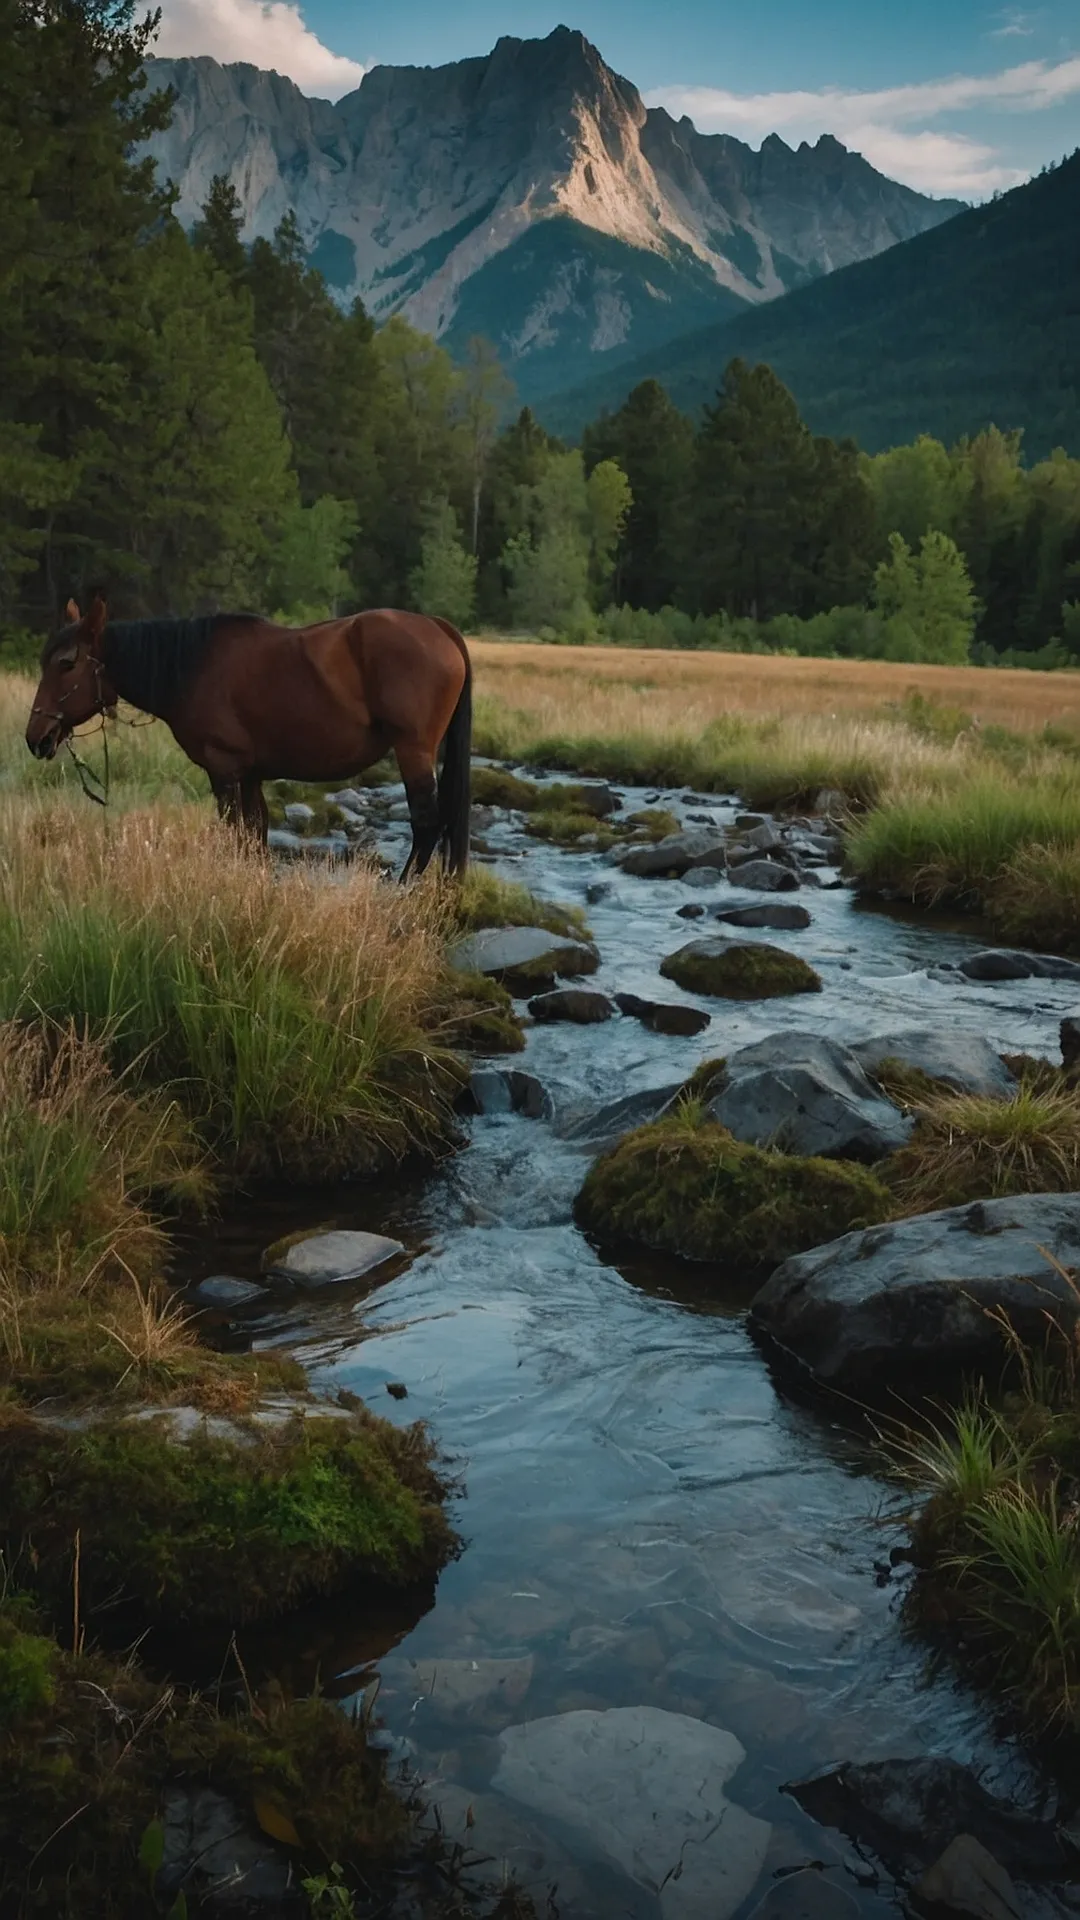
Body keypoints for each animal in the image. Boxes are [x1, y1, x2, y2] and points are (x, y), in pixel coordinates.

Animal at [24, 591, 470, 879]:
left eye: (67, 663)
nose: (36, 736)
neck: (192, 666)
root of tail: (437, 626)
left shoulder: (223, 769)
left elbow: (234, 832)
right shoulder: (252, 773)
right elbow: (255, 835)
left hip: (412, 751)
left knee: (427, 825)